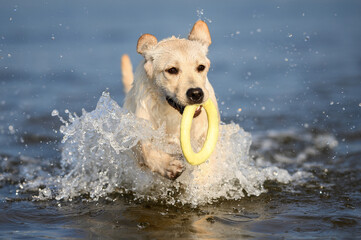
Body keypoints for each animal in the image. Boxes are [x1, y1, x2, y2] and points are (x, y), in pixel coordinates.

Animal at [120, 21, 217, 180]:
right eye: (172, 70)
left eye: (201, 67)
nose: (196, 93)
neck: (172, 115)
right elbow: (144, 147)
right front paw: (168, 166)